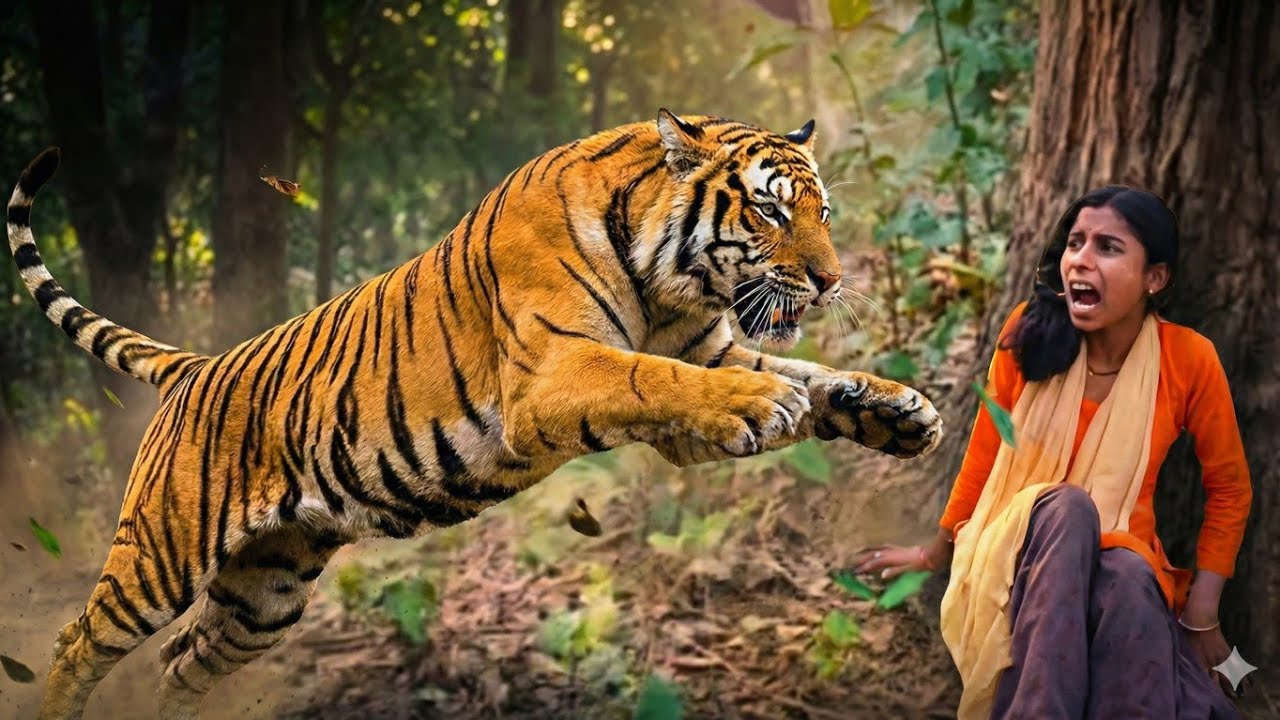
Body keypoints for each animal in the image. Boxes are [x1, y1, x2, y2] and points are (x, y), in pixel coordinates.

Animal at [8, 109, 942, 720]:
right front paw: (767, 402)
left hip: (262, 595)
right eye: (771, 209)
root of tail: (197, 366)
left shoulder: (710, 350)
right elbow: (657, 376)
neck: (670, 283)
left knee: (182, 663)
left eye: (825, 213)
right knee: (78, 641)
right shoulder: (557, 374)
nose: (830, 281)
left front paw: (898, 409)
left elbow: (811, 375)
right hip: (161, 553)